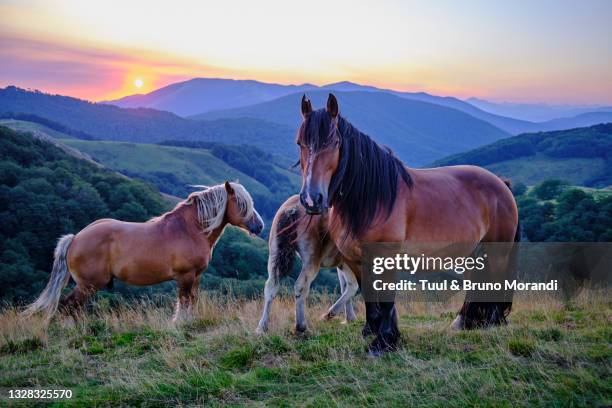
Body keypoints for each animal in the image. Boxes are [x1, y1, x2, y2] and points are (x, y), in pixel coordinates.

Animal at [25, 182, 262, 322]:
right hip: (89, 285)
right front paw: (180, 324)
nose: (259, 226)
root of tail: (75, 238)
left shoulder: (196, 276)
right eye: (241, 203)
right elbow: (184, 302)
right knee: (68, 307)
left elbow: (191, 301)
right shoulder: (185, 276)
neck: (190, 229)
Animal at [255, 194, 358, 334]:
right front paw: (330, 316)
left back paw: (262, 327)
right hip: (312, 260)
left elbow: (346, 286)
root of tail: (292, 209)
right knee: (301, 285)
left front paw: (349, 318)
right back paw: (301, 326)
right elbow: (354, 286)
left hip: (274, 253)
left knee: (271, 285)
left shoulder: (342, 262)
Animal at [298, 94, 520, 356]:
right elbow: (368, 294)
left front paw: (384, 342)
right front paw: (370, 331)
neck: (373, 198)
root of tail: (501, 184)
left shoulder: (385, 257)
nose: (311, 199)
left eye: (333, 143)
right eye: (300, 142)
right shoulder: (356, 260)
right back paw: (465, 322)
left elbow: (385, 299)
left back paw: (492, 322)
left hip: (497, 251)